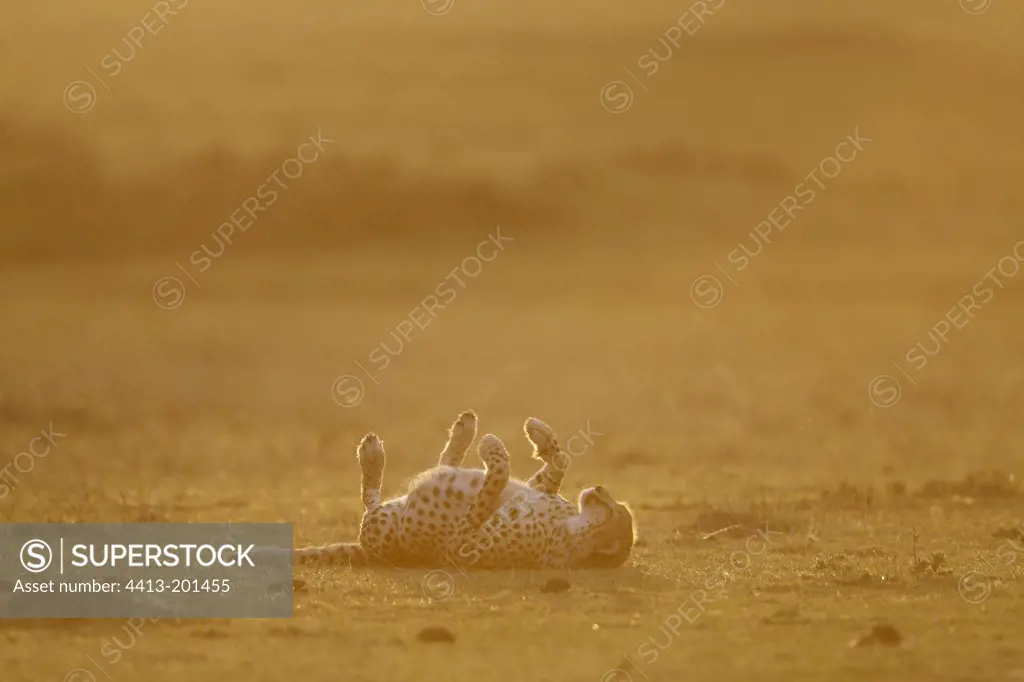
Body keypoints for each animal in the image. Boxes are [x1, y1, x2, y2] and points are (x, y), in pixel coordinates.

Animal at [292, 409, 634, 569]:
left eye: (613, 507)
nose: (598, 489)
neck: (573, 525)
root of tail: (365, 552)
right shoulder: (537, 488)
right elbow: (558, 463)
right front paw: (539, 433)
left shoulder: (462, 542)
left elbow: (495, 477)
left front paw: (492, 447)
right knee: (444, 464)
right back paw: (464, 428)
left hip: (385, 527)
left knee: (371, 500)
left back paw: (372, 454)